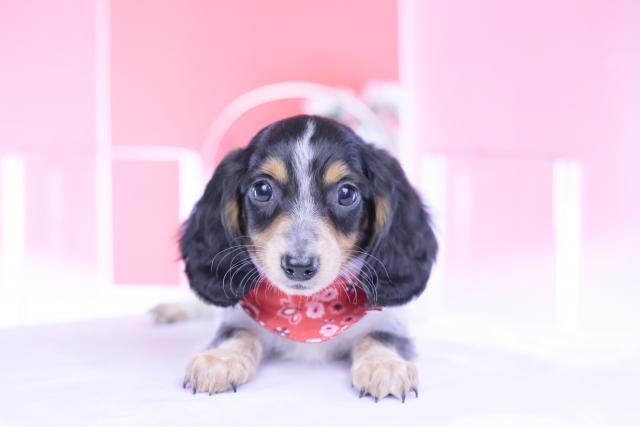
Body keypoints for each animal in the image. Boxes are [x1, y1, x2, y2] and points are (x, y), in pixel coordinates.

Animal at [158, 115, 437, 402]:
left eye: (346, 193)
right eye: (262, 189)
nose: (299, 267)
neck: (306, 308)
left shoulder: (391, 318)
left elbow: (381, 336)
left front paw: (385, 364)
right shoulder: (237, 315)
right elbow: (237, 332)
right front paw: (220, 359)